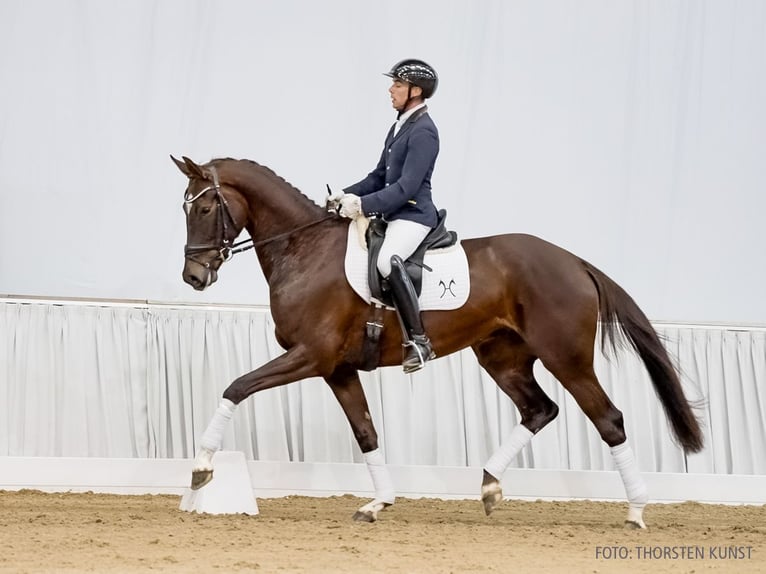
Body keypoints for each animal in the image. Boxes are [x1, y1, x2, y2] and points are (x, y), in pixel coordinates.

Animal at [171, 155, 704, 528]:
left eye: (204, 206)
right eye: (185, 207)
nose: (193, 276)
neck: (305, 250)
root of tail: (574, 261)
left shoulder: (310, 356)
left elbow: (236, 387)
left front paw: (200, 469)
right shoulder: (337, 369)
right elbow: (366, 433)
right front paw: (377, 503)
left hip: (565, 357)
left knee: (608, 419)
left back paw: (636, 512)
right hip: (502, 356)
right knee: (540, 410)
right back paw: (489, 486)